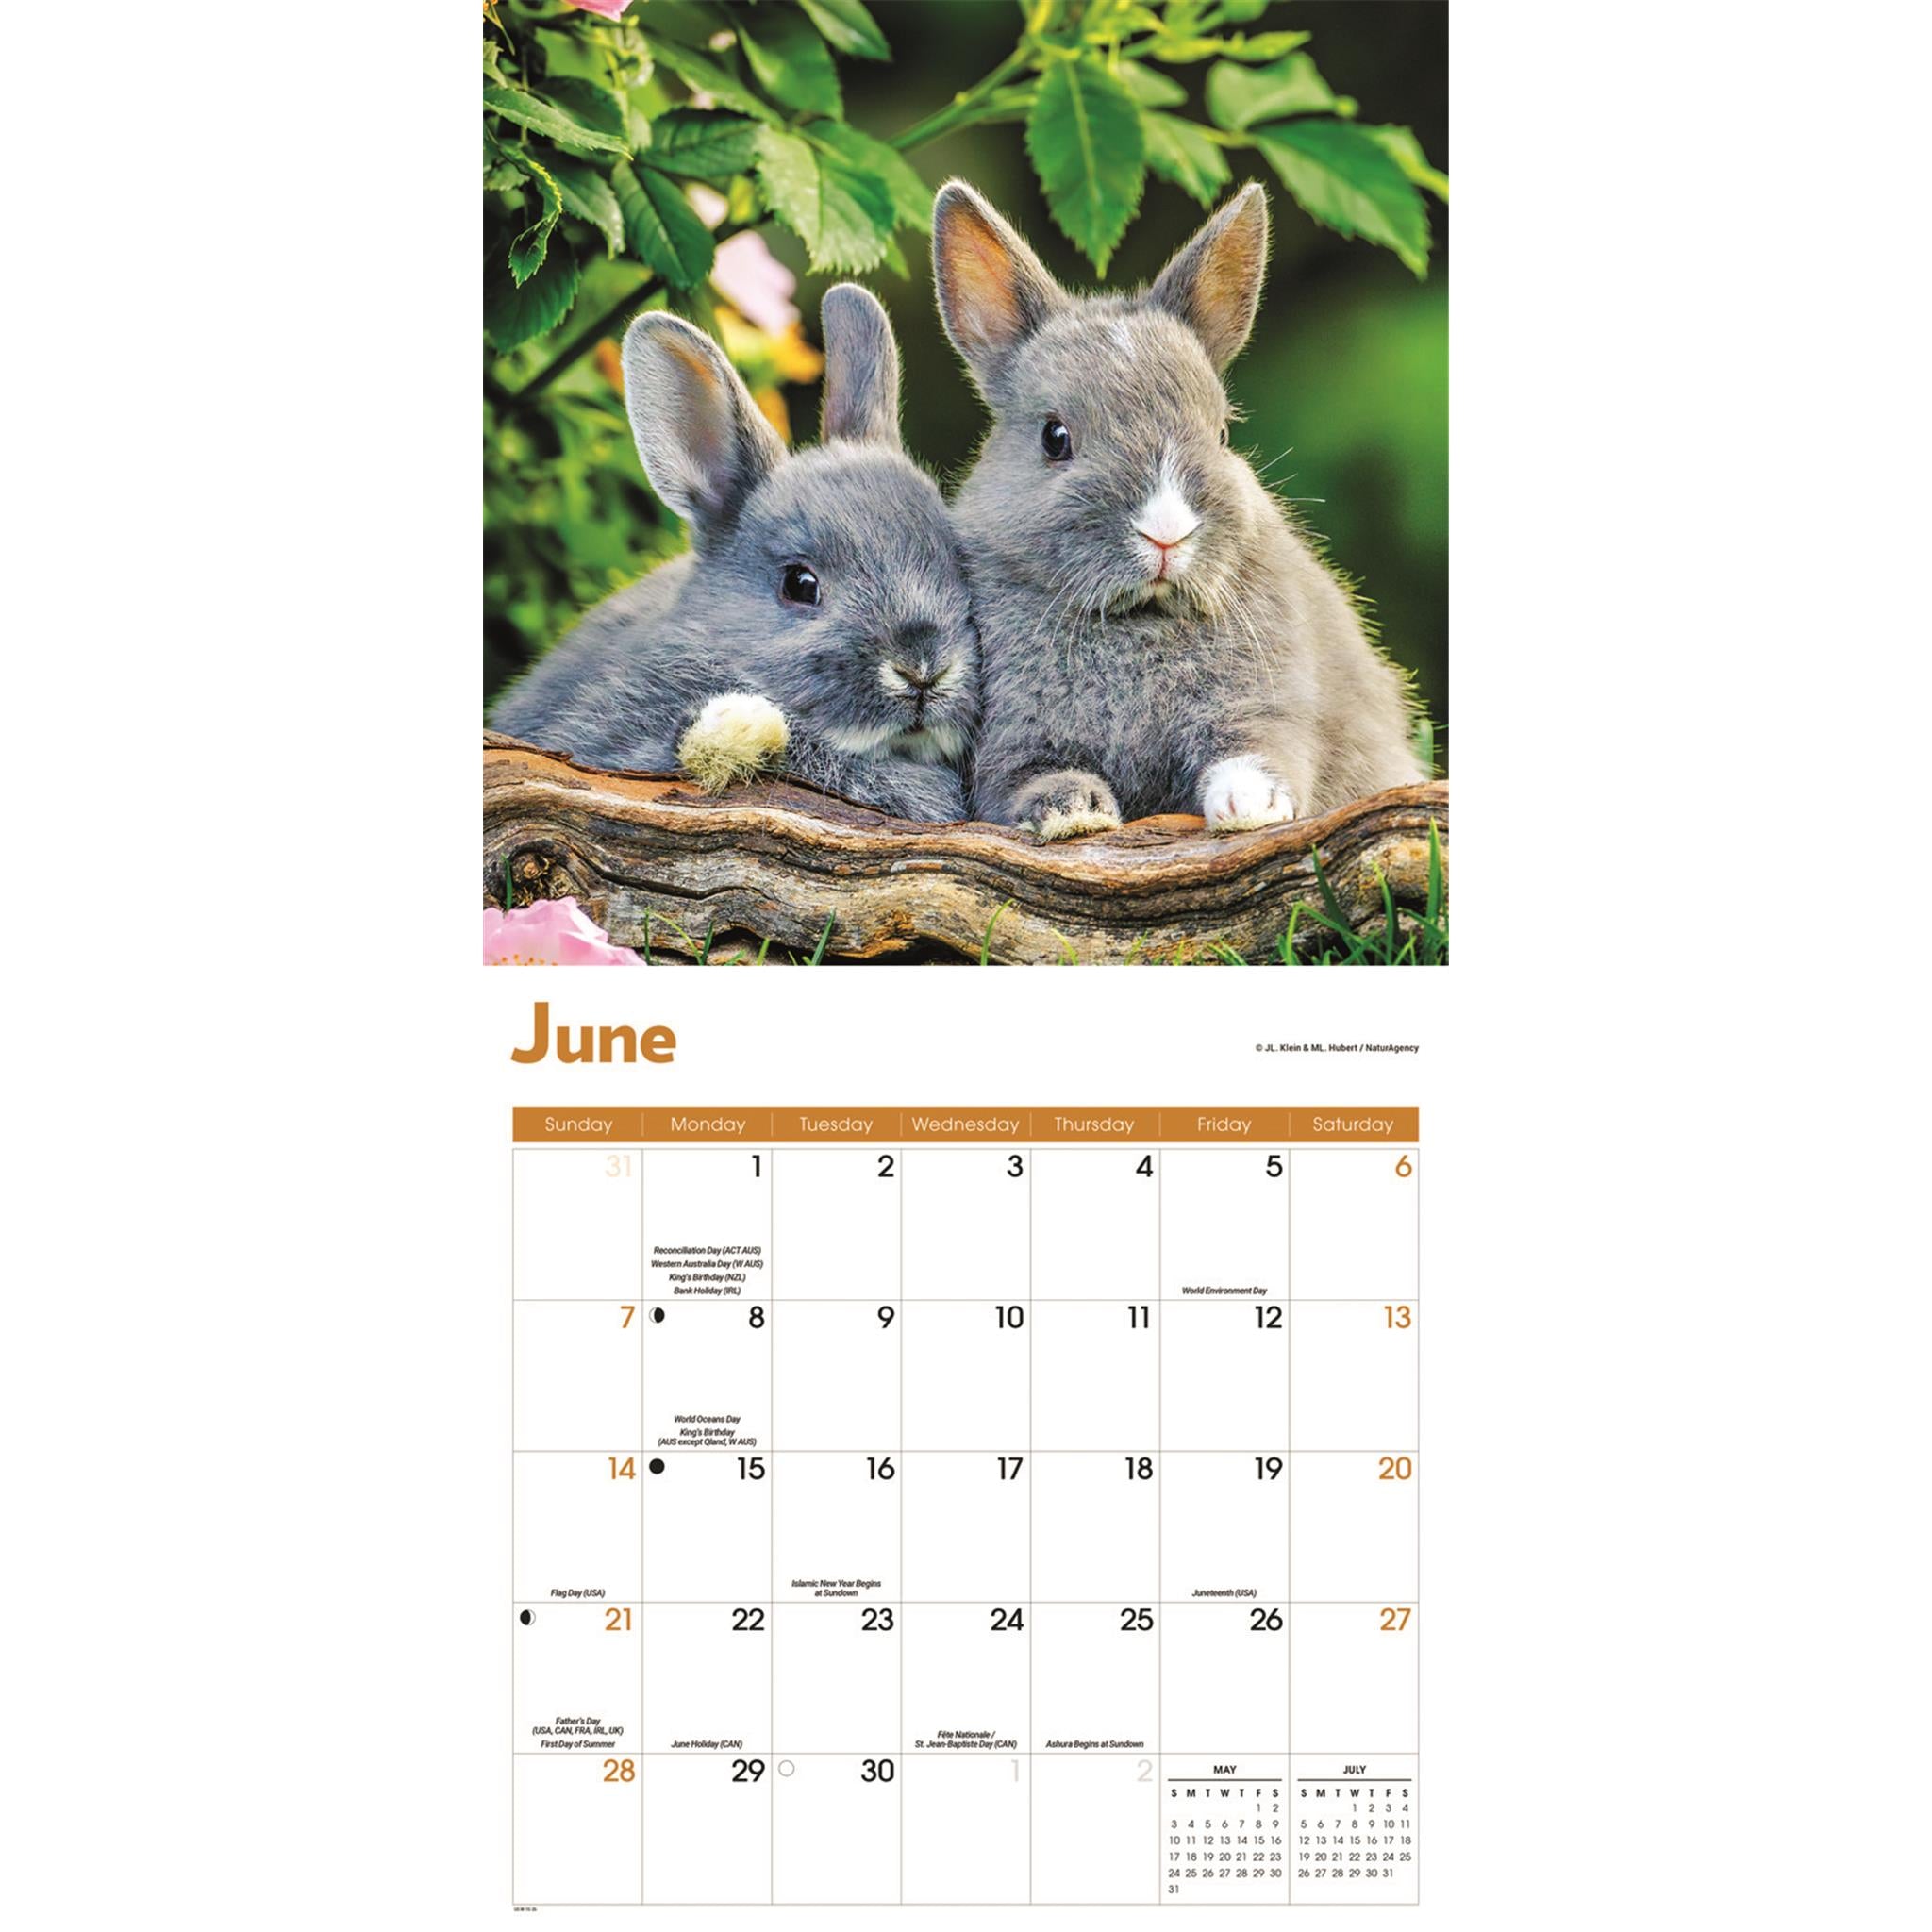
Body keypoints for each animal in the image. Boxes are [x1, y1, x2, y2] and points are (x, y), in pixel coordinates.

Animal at [931, 179, 1422, 839]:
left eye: (1223, 434)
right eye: (1055, 438)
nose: (1166, 534)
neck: (1143, 617)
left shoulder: (1264, 705)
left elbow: (1257, 752)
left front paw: (1250, 808)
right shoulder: (1009, 743)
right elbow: (1027, 780)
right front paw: (1072, 814)